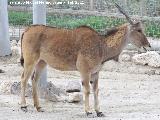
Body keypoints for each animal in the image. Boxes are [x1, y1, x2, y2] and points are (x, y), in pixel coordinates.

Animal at [19, 3, 150, 117]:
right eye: (139, 30)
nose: (148, 46)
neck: (101, 45)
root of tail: (27, 30)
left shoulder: (95, 73)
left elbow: (96, 90)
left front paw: (99, 111)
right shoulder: (85, 70)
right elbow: (87, 90)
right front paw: (88, 111)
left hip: (41, 62)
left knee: (34, 80)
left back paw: (38, 107)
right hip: (30, 61)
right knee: (24, 79)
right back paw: (23, 106)